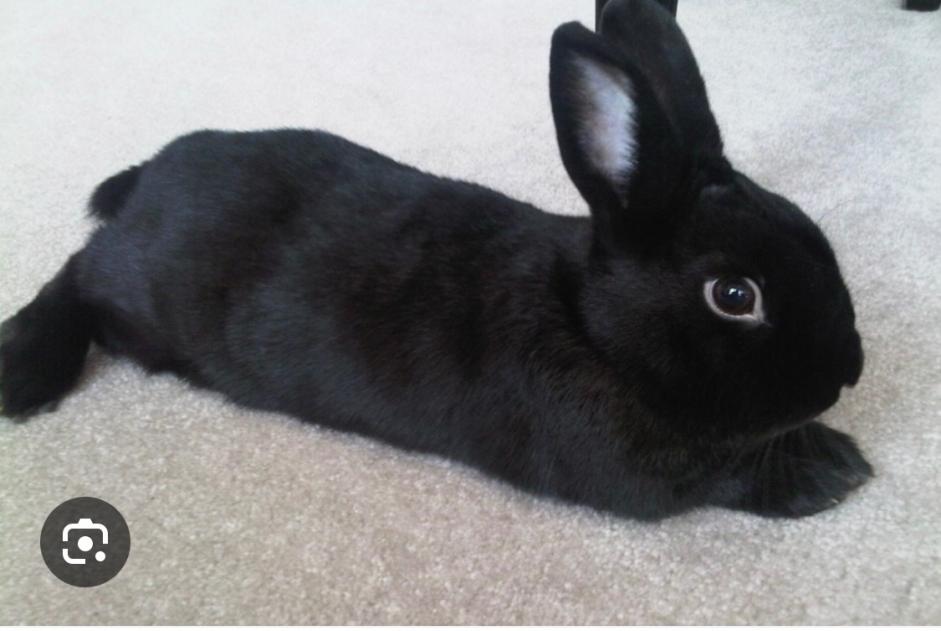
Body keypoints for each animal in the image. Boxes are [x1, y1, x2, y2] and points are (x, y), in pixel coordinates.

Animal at [0, 0, 872, 520]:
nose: (848, 373)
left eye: (813, 236)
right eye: (734, 294)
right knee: (76, 273)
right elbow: (728, 475)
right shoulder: (641, 477)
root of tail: (145, 180)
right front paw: (835, 469)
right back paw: (26, 370)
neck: (590, 327)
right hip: (139, 298)